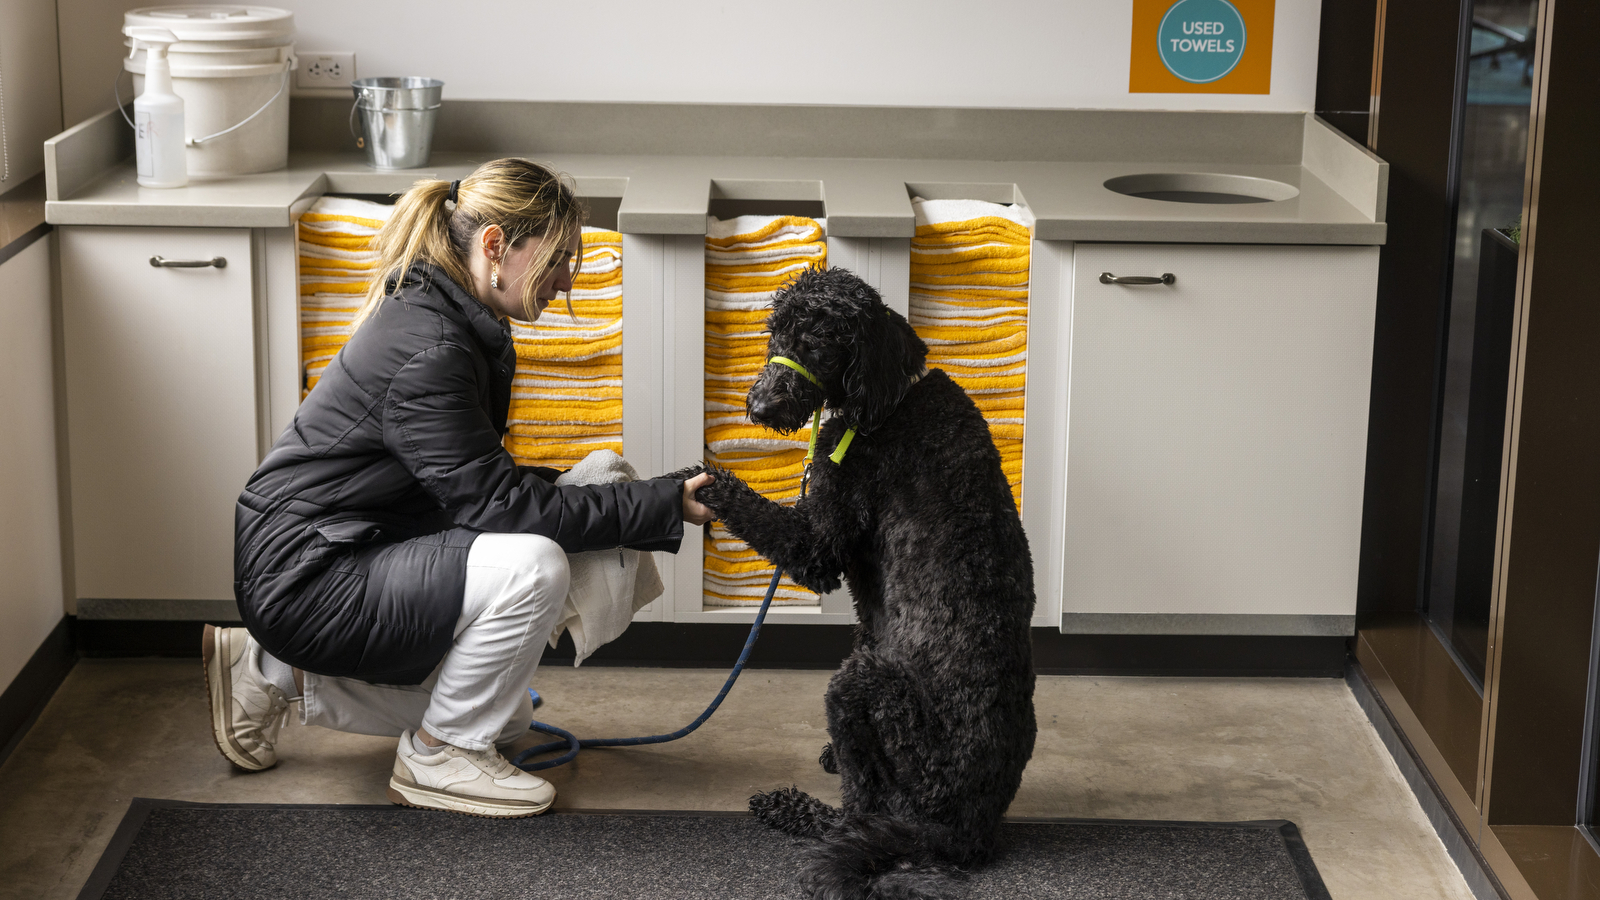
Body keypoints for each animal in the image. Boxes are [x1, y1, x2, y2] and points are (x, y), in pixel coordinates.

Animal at [688, 265, 1036, 896]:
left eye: (819, 341)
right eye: (776, 332)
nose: (759, 406)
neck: (890, 401)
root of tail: (962, 833)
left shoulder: (818, 549)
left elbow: (751, 506)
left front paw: (698, 478)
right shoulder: (868, 614)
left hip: (860, 690)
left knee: (859, 810)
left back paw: (794, 810)